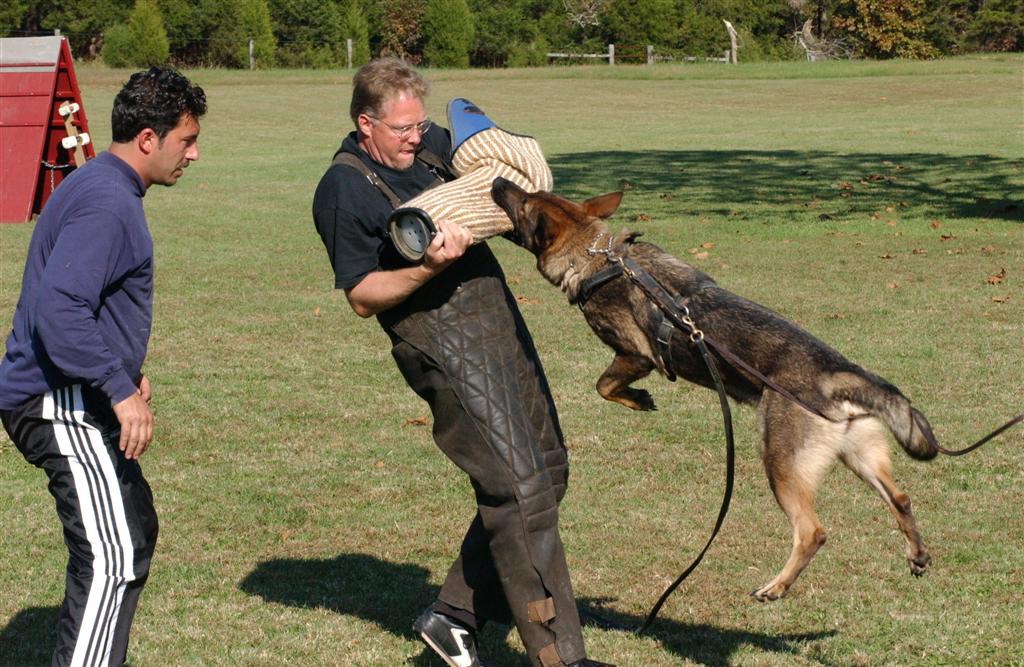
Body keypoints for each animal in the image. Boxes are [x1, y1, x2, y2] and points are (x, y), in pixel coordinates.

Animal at [490, 176, 938, 601]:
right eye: (530, 193)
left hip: (781, 463)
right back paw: (916, 555)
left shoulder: (636, 356)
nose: (497, 182)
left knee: (813, 531)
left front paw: (639, 400)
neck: (597, 256)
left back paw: (775, 587)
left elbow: (603, 384)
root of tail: (838, 372)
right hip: (859, 456)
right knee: (900, 498)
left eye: (523, 202)